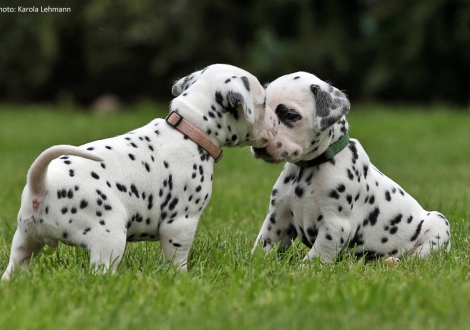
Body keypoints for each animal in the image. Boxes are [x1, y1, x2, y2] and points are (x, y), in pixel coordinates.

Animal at [1, 63, 278, 278]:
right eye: (264, 102)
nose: (276, 121)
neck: (190, 129)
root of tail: (42, 184)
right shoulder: (181, 223)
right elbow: (177, 259)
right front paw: (181, 279)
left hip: (24, 241)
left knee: (14, 269)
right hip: (108, 237)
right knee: (100, 272)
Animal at [252, 71, 450, 262]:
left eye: (291, 115)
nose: (259, 142)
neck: (308, 168)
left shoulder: (335, 226)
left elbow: (315, 258)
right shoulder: (277, 219)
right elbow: (262, 245)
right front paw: (253, 261)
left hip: (439, 224)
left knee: (417, 257)